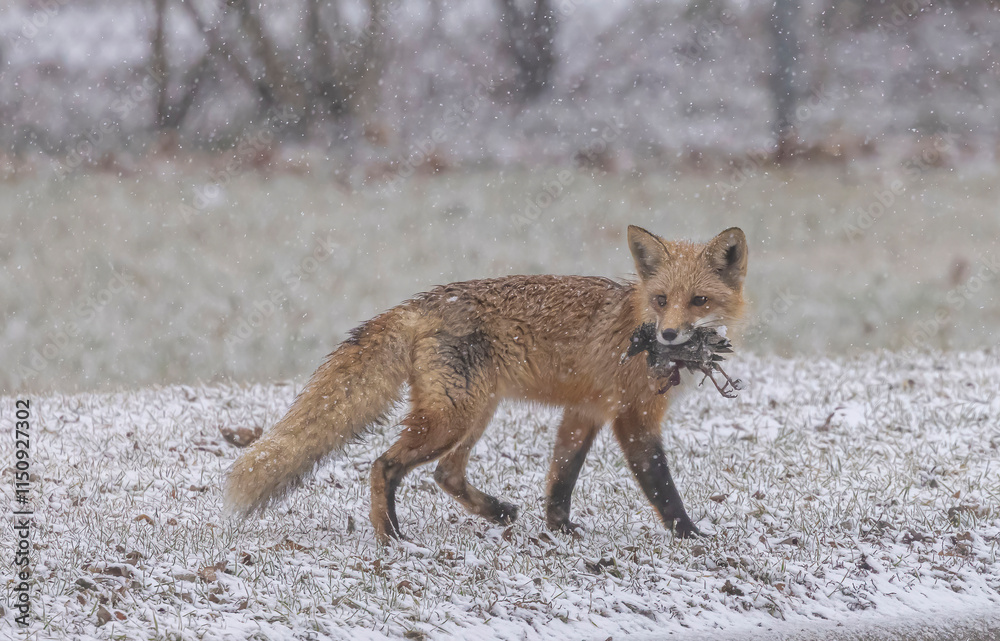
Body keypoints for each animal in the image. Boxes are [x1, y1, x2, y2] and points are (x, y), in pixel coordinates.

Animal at [225, 225, 748, 543]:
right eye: (661, 300)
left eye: (699, 301)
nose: (668, 336)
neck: (638, 324)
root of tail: (418, 303)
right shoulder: (633, 417)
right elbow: (661, 486)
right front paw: (691, 536)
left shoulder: (584, 411)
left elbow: (561, 478)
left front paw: (559, 530)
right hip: (453, 417)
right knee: (383, 466)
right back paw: (391, 537)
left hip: (476, 412)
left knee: (445, 474)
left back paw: (495, 512)